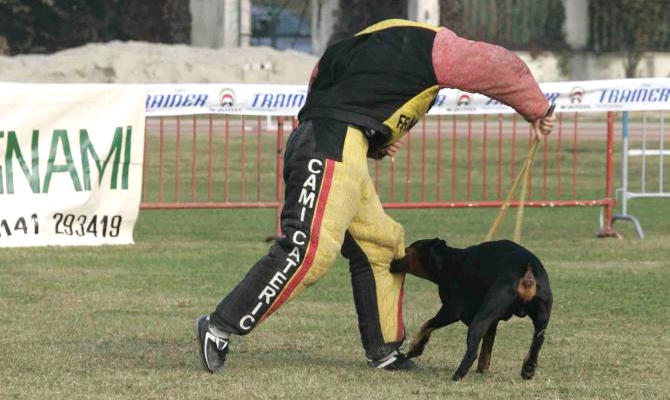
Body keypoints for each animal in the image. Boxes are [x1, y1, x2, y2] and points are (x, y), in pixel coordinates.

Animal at [392, 238, 552, 382]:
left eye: (407, 251)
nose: (392, 261)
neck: (447, 262)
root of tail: (527, 270)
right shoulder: (492, 323)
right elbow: (487, 348)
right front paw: (483, 369)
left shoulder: (451, 310)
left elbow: (427, 324)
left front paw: (415, 348)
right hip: (541, 317)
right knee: (537, 342)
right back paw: (528, 368)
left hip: (480, 319)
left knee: (472, 351)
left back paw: (457, 375)